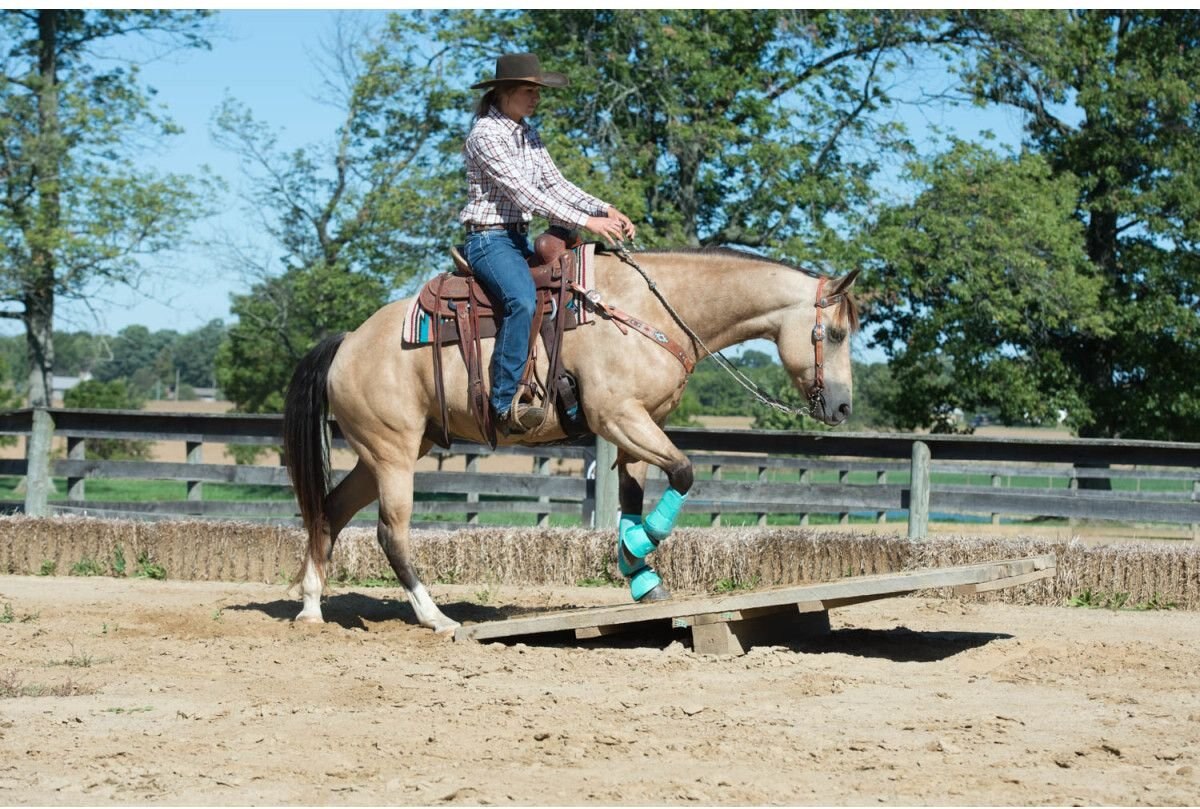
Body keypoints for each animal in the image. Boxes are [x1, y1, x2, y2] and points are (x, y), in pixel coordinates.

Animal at [280, 242, 864, 633]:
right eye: (836, 333)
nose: (842, 407)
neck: (648, 309)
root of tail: (347, 342)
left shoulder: (638, 425)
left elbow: (635, 495)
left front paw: (638, 570)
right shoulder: (617, 417)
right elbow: (684, 471)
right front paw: (638, 549)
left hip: (382, 454)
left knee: (329, 511)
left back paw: (311, 608)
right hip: (394, 453)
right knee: (391, 534)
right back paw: (435, 617)